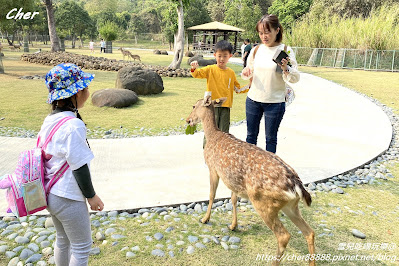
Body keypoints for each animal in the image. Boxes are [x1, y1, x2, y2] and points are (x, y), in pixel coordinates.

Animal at [187, 96, 316, 264]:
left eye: (194, 106)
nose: (188, 120)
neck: (213, 135)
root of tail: (296, 185)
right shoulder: (234, 182)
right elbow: (233, 199)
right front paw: (233, 226)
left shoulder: (213, 168)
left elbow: (211, 195)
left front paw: (204, 219)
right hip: (291, 206)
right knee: (309, 232)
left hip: (264, 203)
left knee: (284, 236)